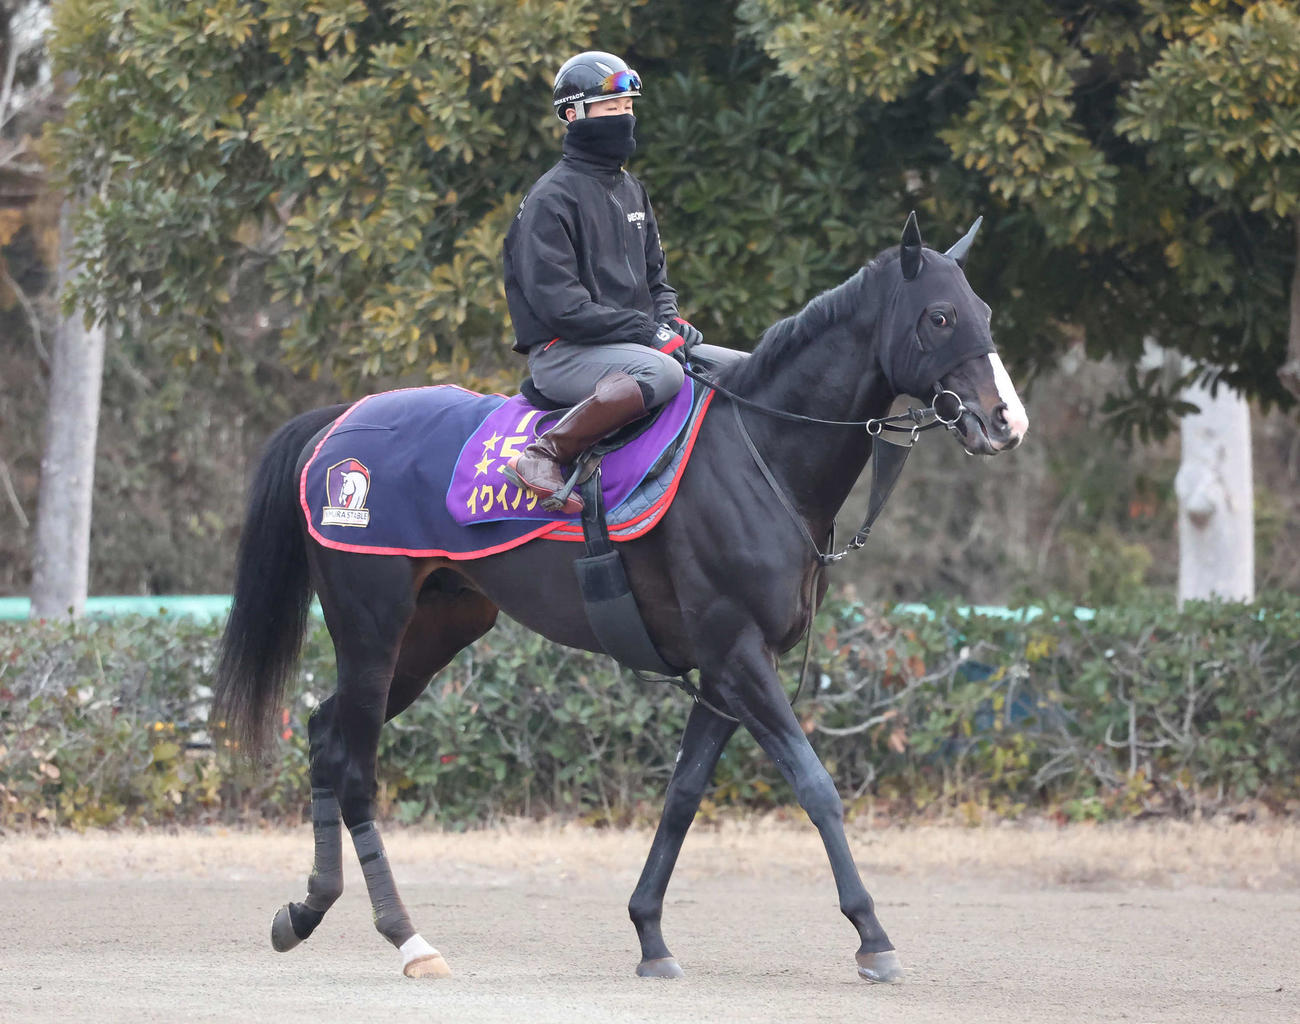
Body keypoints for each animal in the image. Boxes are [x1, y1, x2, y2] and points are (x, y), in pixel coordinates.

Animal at [212, 213, 1029, 984]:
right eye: (940, 317)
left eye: (983, 309)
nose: (1006, 421)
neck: (758, 452)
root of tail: (340, 427)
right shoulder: (739, 658)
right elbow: (815, 784)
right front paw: (872, 934)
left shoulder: (724, 673)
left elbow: (683, 795)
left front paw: (650, 934)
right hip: (372, 629)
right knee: (354, 769)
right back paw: (408, 938)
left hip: (433, 634)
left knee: (324, 734)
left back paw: (307, 909)